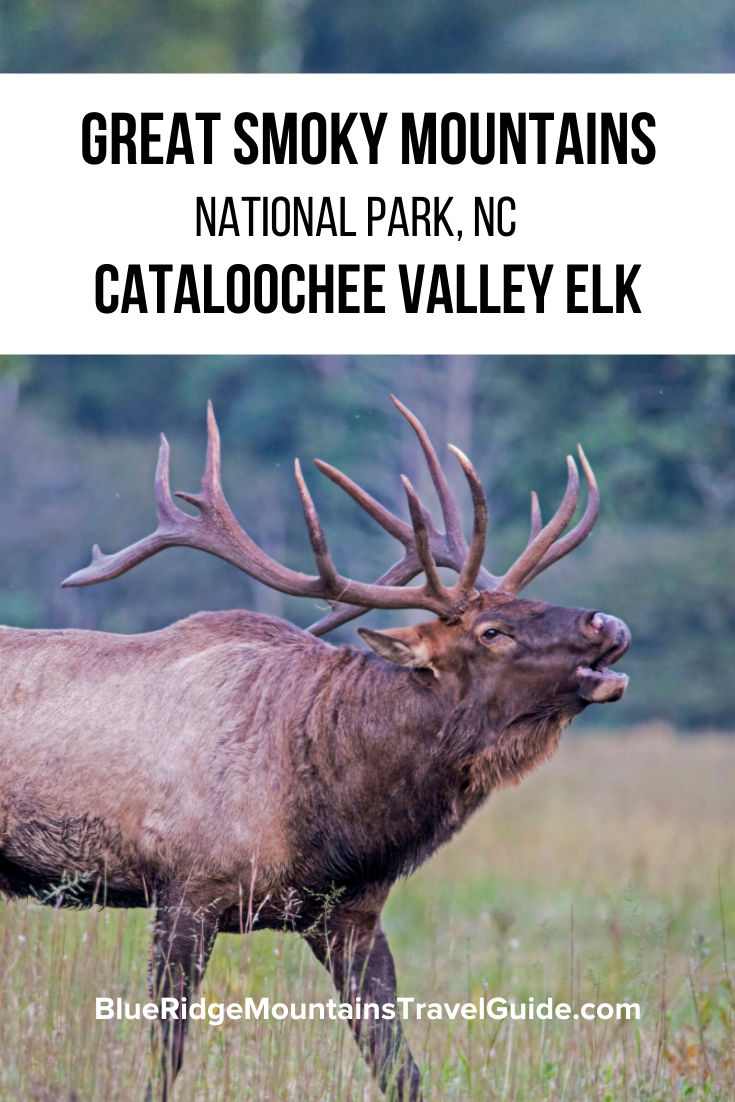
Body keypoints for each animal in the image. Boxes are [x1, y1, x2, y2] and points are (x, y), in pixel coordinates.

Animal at [0, 397, 630, 1101]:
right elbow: (167, 1053)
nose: (606, 622)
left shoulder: (351, 914)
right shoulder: (186, 886)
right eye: (492, 631)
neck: (334, 818)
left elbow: (398, 1064)